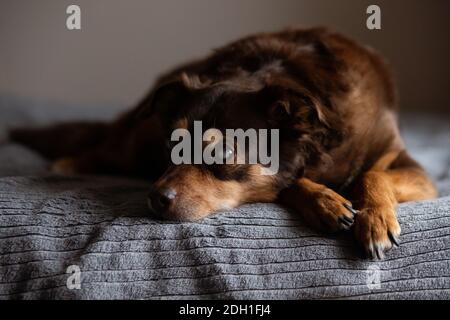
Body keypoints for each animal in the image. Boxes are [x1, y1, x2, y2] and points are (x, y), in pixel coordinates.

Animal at [10, 26, 438, 258]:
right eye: (172, 145)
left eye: (222, 152)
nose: (154, 198)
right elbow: (287, 182)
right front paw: (324, 201)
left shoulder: (415, 170)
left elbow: (372, 175)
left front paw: (375, 219)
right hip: (133, 141)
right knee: (106, 143)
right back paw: (69, 163)